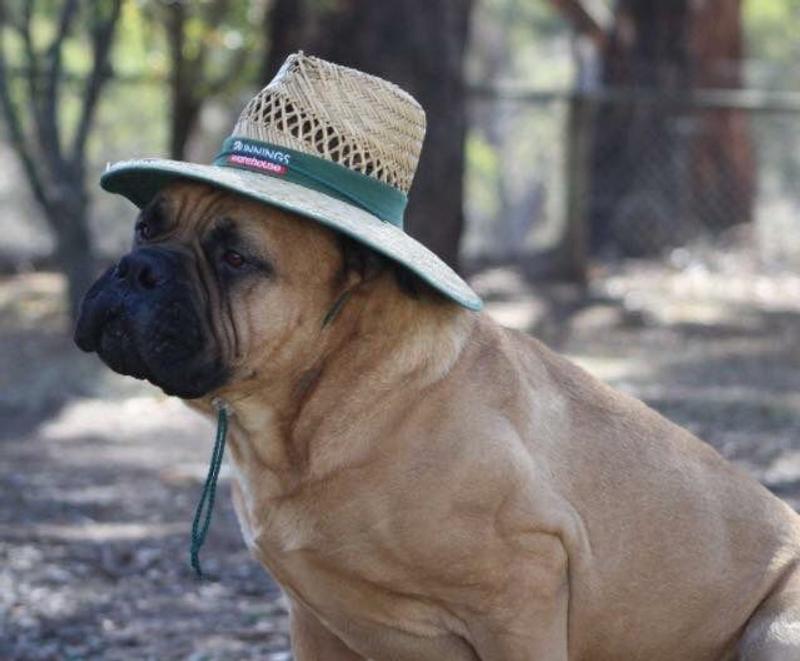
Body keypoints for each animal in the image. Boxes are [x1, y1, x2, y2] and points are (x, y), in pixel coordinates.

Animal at [75, 180, 800, 660]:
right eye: (146, 228)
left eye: (236, 258)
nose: (136, 268)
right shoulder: (315, 621)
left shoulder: (521, 590)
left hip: (774, 630)